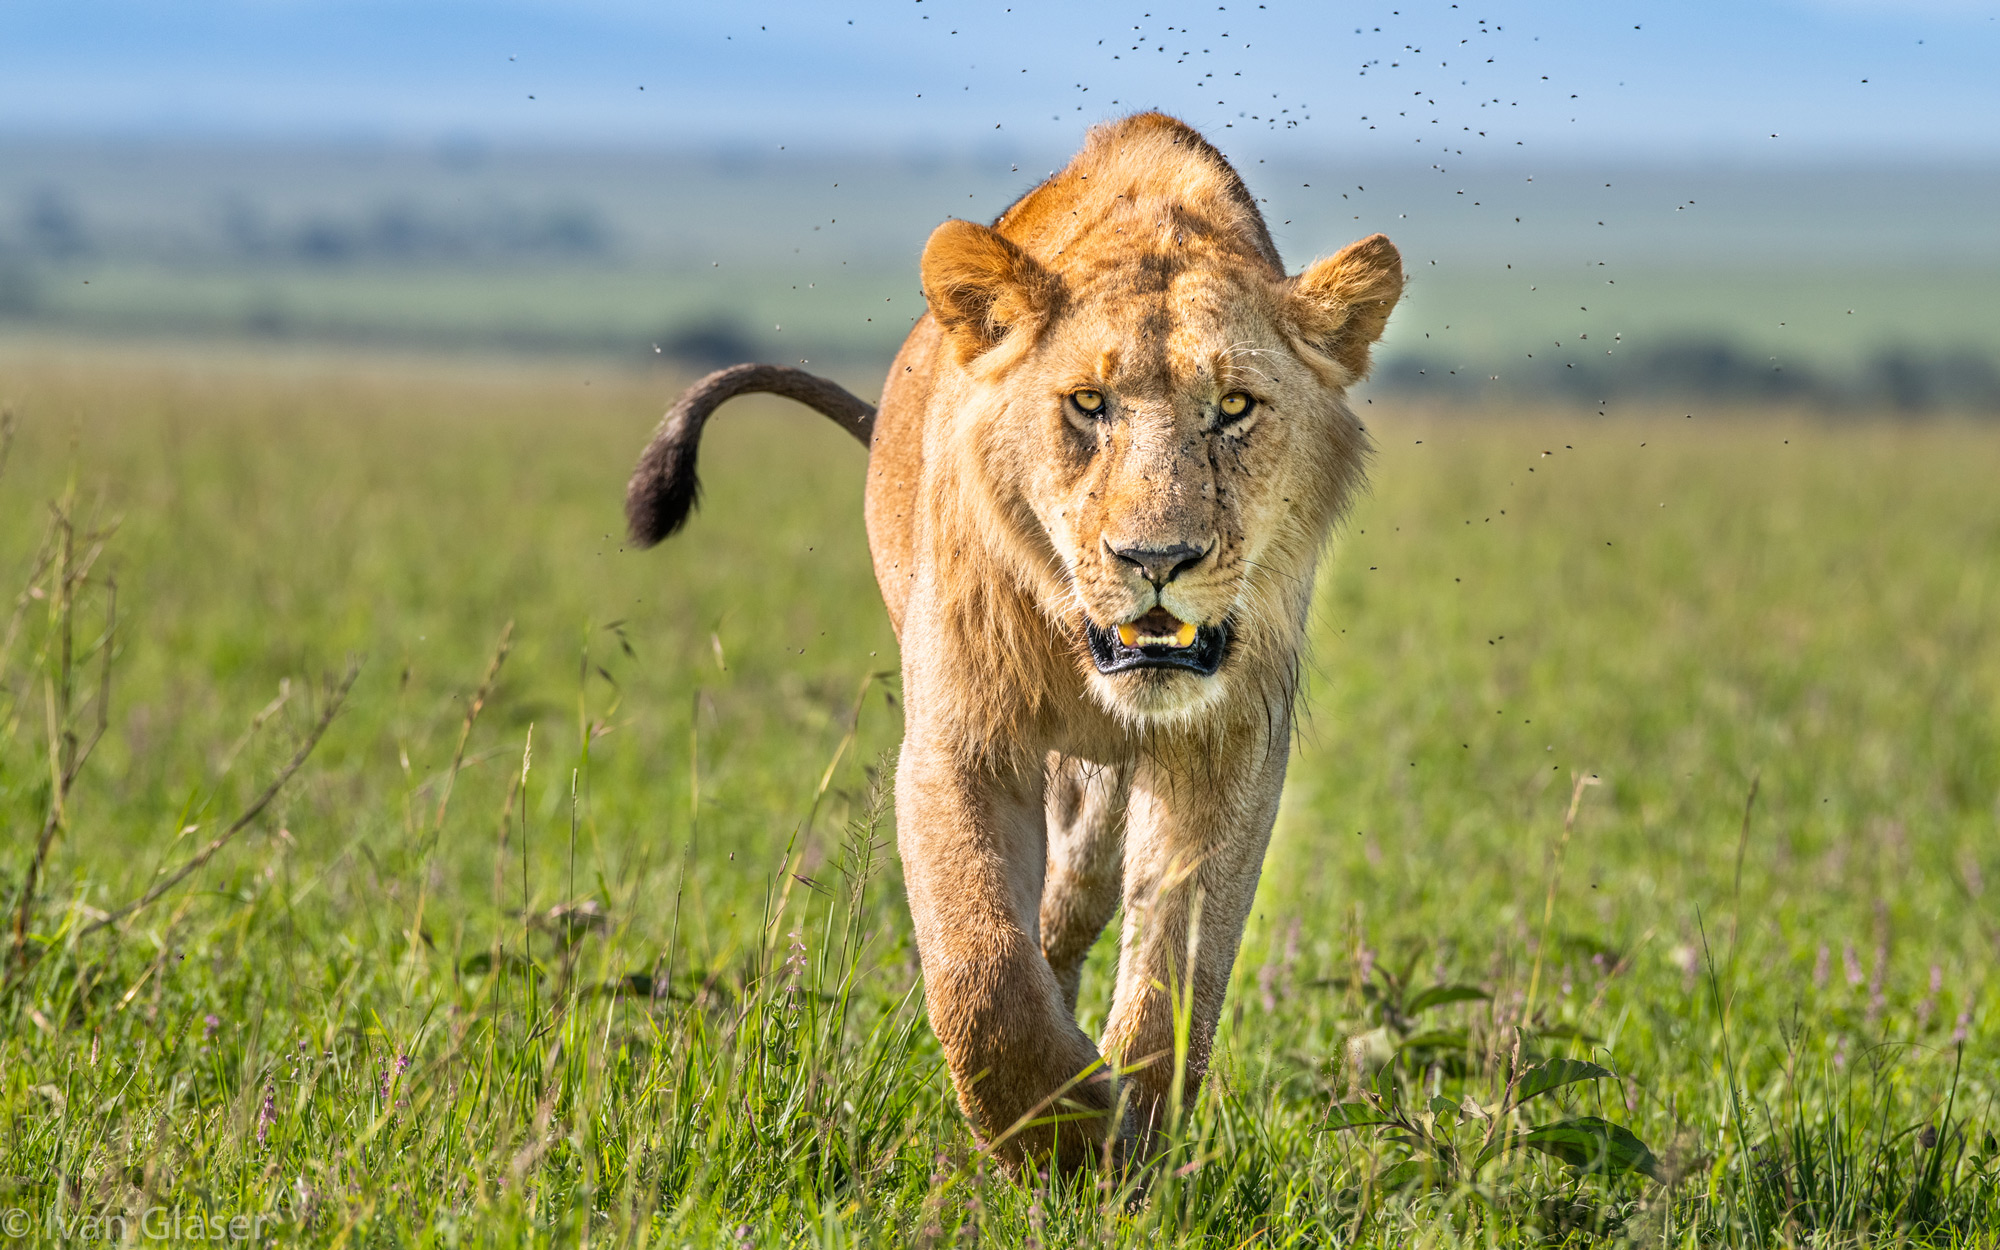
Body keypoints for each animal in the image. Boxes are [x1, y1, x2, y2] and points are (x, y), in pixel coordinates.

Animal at [628, 109, 1408, 1168]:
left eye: (1236, 408)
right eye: (1088, 403)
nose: (1156, 558)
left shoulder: (1228, 745)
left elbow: (1175, 975)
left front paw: (1125, 1140)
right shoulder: (958, 738)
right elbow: (981, 972)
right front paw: (1058, 1134)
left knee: (1073, 910)